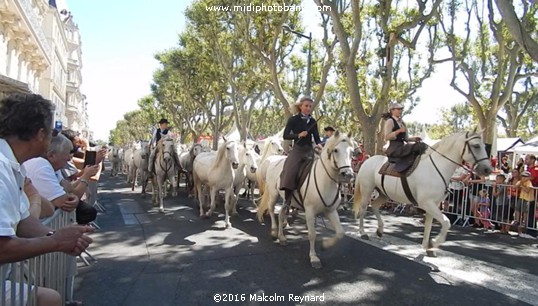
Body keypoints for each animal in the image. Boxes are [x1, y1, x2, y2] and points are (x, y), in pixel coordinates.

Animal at [256, 131, 354, 268]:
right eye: (336, 150)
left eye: (352, 152)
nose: (348, 175)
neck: (325, 179)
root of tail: (273, 160)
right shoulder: (310, 211)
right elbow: (312, 234)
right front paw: (314, 257)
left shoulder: (330, 211)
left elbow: (340, 233)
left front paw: (325, 245)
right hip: (274, 193)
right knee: (270, 209)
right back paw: (274, 231)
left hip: (286, 199)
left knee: (281, 213)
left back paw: (282, 237)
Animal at [352, 130, 490, 256]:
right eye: (476, 146)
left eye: (484, 146)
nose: (488, 169)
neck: (437, 167)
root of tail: (367, 161)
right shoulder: (426, 203)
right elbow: (446, 222)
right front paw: (433, 243)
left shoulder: (433, 204)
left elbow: (429, 225)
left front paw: (427, 247)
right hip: (367, 190)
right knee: (363, 209)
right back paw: (363, 233)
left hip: (384, 194)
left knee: (374, 205)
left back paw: (380, 230)